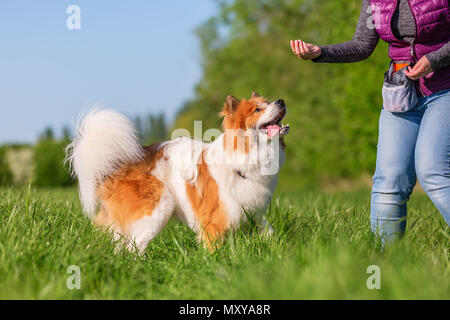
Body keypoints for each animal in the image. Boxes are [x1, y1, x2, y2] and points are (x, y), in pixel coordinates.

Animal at [66, 92, 290, 252]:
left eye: (268, 101)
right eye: (258, 109)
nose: (281, 101)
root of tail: (117, 163)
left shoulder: (256, 213)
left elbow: (269, 231)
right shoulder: (213, 223)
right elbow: (215, 251)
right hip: (157, 208)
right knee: (133, 248)